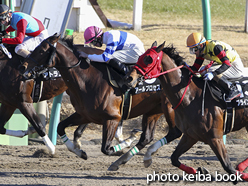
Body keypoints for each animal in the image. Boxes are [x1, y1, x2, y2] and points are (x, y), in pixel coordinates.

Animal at [20, 32, 181, 165]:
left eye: (41, 50)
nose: (24, 67)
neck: (87, 79)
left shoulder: (113, 118)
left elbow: (107, 149)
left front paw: (127, 140)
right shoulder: (84, 115)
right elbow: (61, 127)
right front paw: (79, 152)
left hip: (169, 107)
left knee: (175, 132)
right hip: (153, 110)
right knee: (147, 137)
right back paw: (125, 159)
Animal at [126, 41, 248, 182]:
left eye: (148, 59)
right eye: (140, 56)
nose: (129, 78)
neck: (191, 97)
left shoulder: (215, 137)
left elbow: (228, 166)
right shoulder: (190, 135)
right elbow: (174, 158)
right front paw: (201, 171)